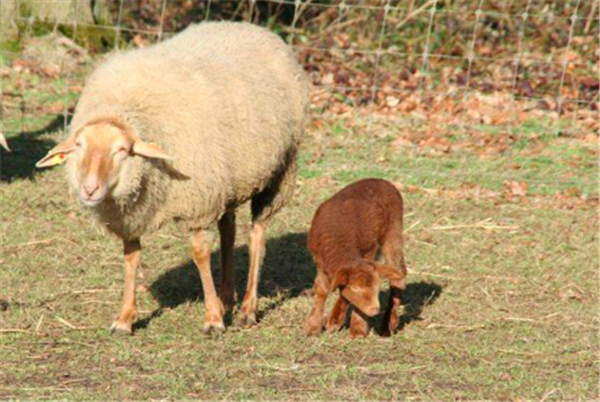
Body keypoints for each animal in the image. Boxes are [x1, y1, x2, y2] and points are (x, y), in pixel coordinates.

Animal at [35, 22, 310, 336]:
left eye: (122, 151)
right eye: (79, 146)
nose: (90, 189)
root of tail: (251, 26)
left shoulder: (199, 200)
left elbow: (200, 253)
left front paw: (213, 319)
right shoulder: (132, 213)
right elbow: (131, 256)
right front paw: (125, 319)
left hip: (280, 170)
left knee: (257, 236)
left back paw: (247, 310)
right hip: (227, 179)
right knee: (229, 230)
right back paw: (227, 298)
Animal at [304, 177, 408, 338]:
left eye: (377, 287)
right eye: (355, 288)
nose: (374, 310)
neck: (341, 242)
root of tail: (381, 180)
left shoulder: (368, 251)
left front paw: (356, 328)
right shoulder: (320, 262)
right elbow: (322, 289)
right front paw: (313, 327)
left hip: (393, 229)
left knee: (398, 275)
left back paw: (387, 325)